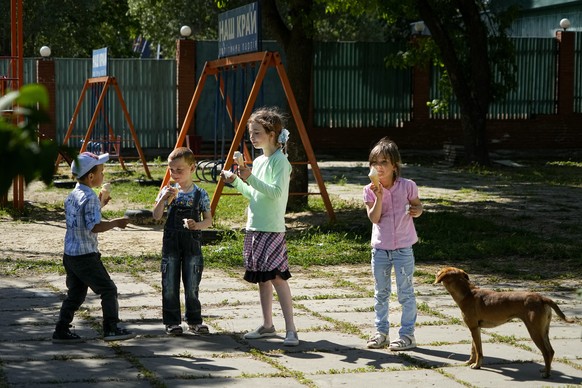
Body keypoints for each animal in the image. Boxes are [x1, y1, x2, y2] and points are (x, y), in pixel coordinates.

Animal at [434, 266, 576, 378]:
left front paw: (477, 365)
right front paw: (470, 362)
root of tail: (542, 298)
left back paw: (546, 374)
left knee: (546, 352)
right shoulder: (476, 328)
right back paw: (546, 369)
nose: (436, 271)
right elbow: (473, 349)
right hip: (544, 330)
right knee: (551, 351)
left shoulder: (474, 328)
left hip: (534, 331)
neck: (467, 293)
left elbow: (479, 351)